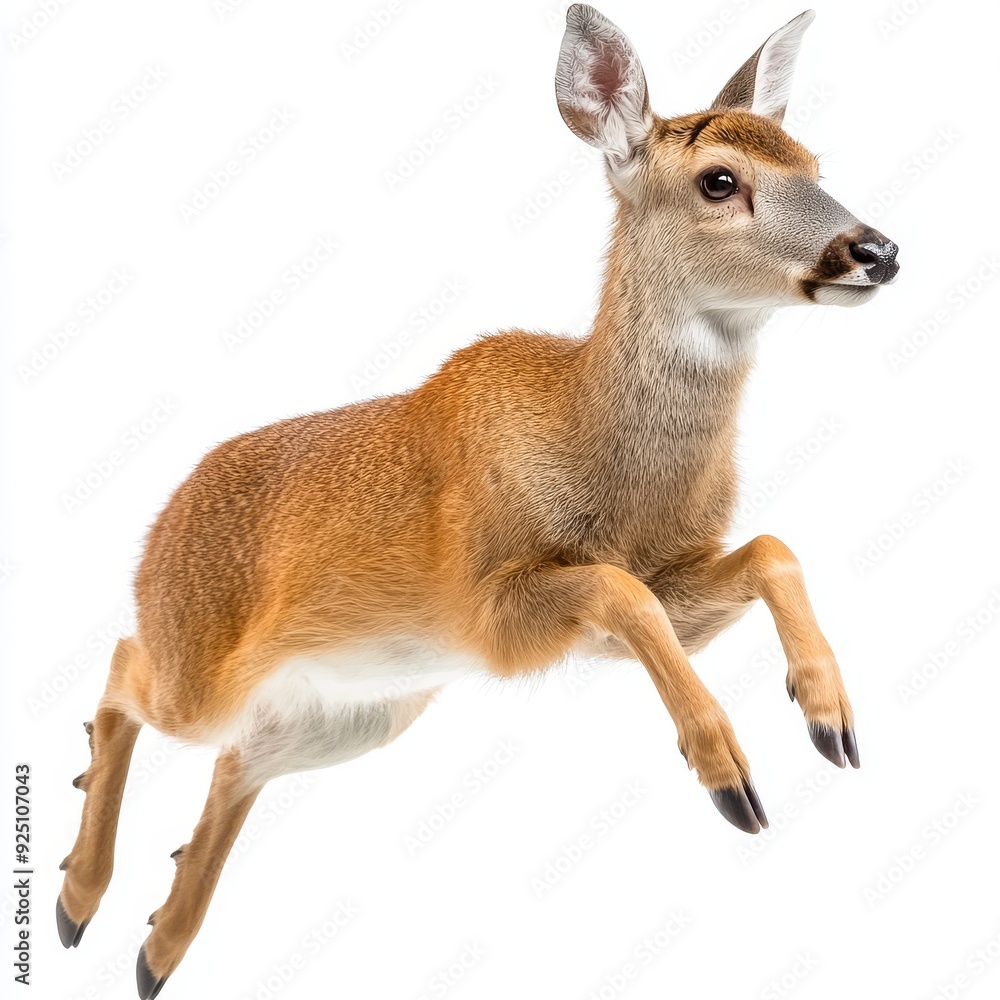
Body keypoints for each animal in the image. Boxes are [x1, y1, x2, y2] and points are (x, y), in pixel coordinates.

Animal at [57, 6, 899, 997]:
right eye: (720, 180)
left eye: (813, 163)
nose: (877, 249)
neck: (599, 458)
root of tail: (159, 531)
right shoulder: (494, 610)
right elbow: (622, 589)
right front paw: (728, 772)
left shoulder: (651, 595)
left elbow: (768, 550)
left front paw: (829, 717)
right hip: (204, 665)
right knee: (124, 669)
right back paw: (77, 899)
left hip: (360, 707)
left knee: (233, 764)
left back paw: (152, 948)